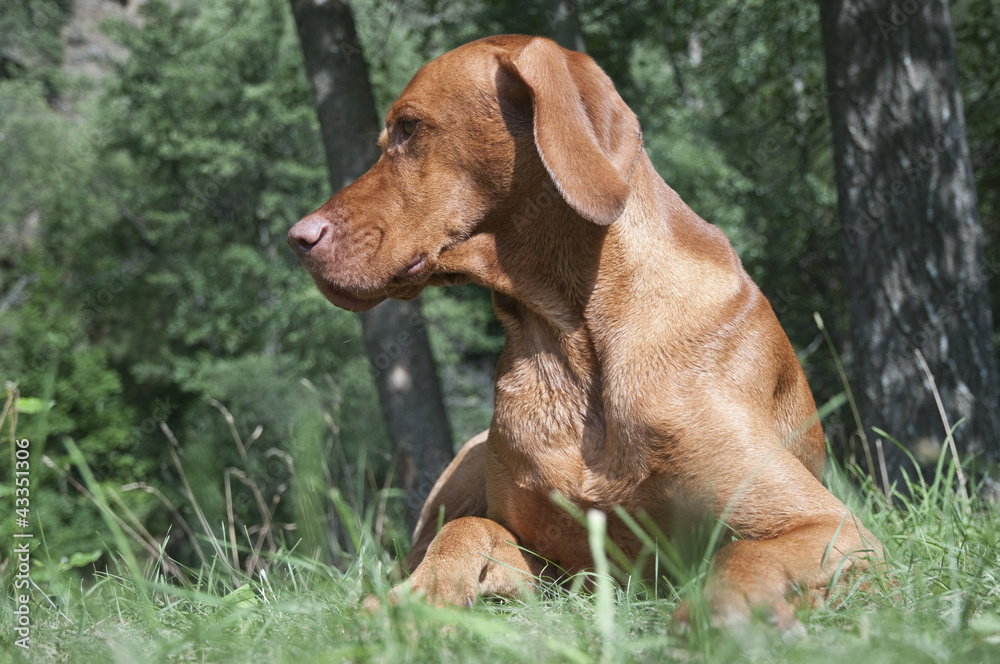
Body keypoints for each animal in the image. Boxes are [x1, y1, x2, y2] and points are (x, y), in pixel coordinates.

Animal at [290, 35, 884, 628]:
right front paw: (420, 598)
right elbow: (470, 529)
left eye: (409, 128)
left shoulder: (829, 526)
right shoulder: (564, 566)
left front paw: (724, 618)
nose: (297, 238)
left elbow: (741, 558)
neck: (573, 339)